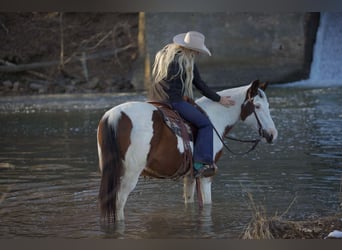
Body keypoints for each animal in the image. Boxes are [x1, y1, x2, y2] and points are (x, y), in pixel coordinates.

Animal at [96, 79, 278, 222]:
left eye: (268, 105)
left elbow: (189, 202)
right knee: (119, 202)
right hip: (130, 174)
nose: (272, 134)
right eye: (257, 106)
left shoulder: (190, 176)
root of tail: (114, 116)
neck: (214, 118)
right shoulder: (206, 175)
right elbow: (207, 204)